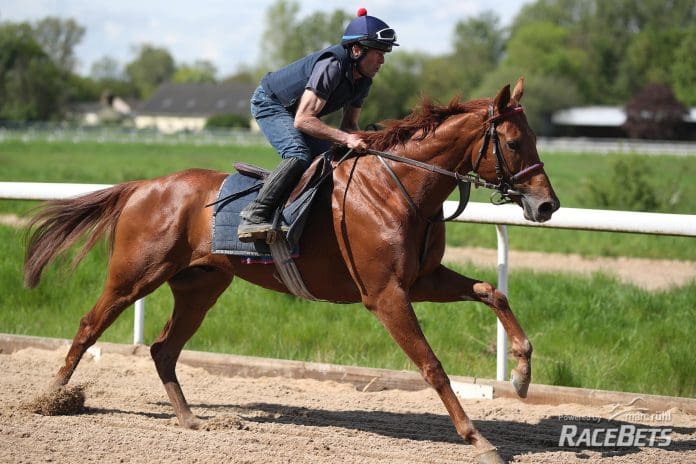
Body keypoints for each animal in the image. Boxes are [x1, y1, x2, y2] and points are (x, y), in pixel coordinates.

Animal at [23, 78, 560, 462]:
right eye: (515, 142)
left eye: (534, 138)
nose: (547, 206)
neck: (397, 187)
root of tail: (144, 185)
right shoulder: (385, 293)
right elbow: (432, 365)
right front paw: (478, 440)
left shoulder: (421, 280)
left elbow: (492, 291)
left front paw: (522, 372)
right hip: (135, 275)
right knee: (89, 325)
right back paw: (47, 399)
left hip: (201, 286)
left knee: (163, 349)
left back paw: (192, 420)